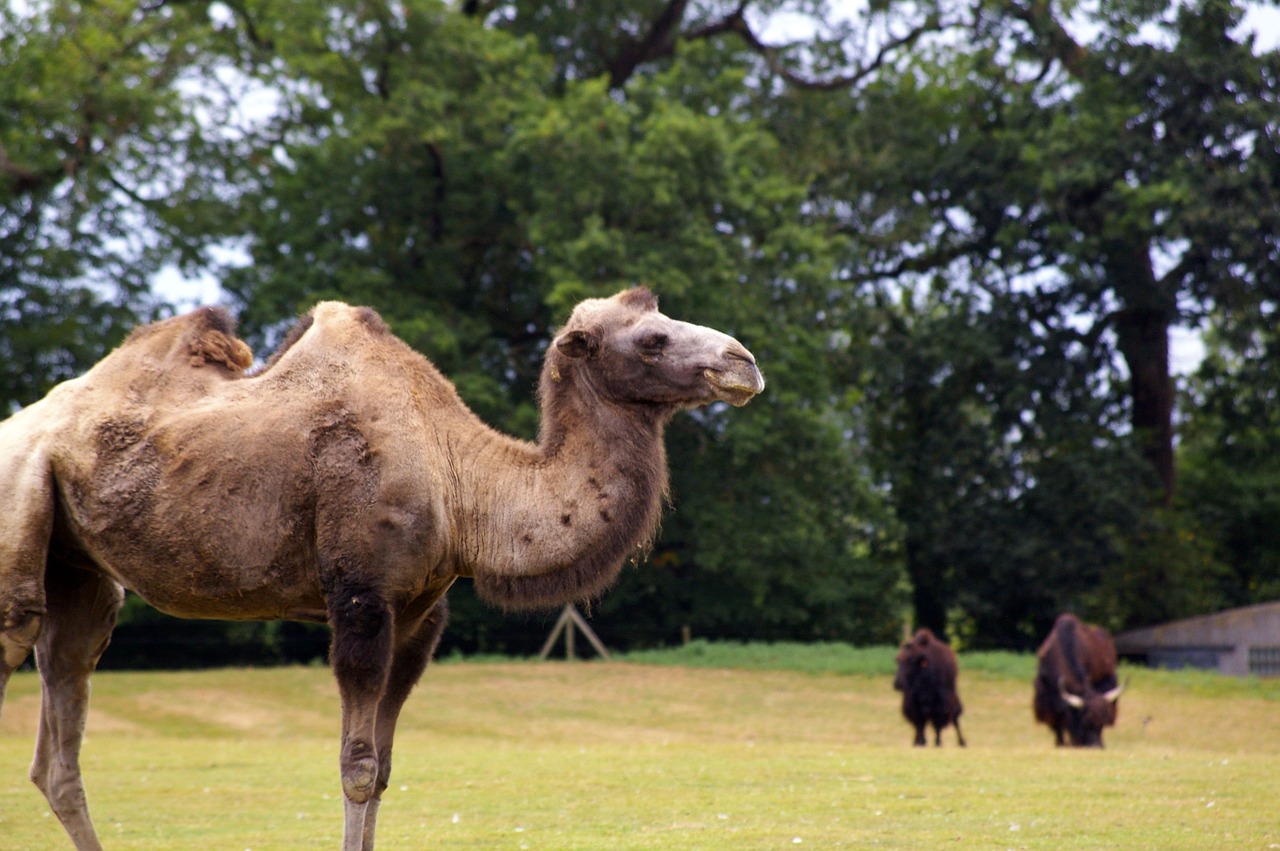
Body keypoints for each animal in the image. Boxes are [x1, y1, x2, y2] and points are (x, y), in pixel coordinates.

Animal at [0, 289, 757, 844]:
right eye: (652, 339)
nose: (743, 360)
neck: (460, 478)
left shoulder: (419, 613)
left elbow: (386, 767)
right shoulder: (361, 598)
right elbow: (357, 769)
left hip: (78, 567)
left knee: (61, 732)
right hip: (19, 506)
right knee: (21, 637)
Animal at [1034, 614, 1126, 747]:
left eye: (1102, 723)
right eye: (1086, 721)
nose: (1097, 745)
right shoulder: (1047, 695)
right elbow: (1056, 721)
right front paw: (1060, 743)